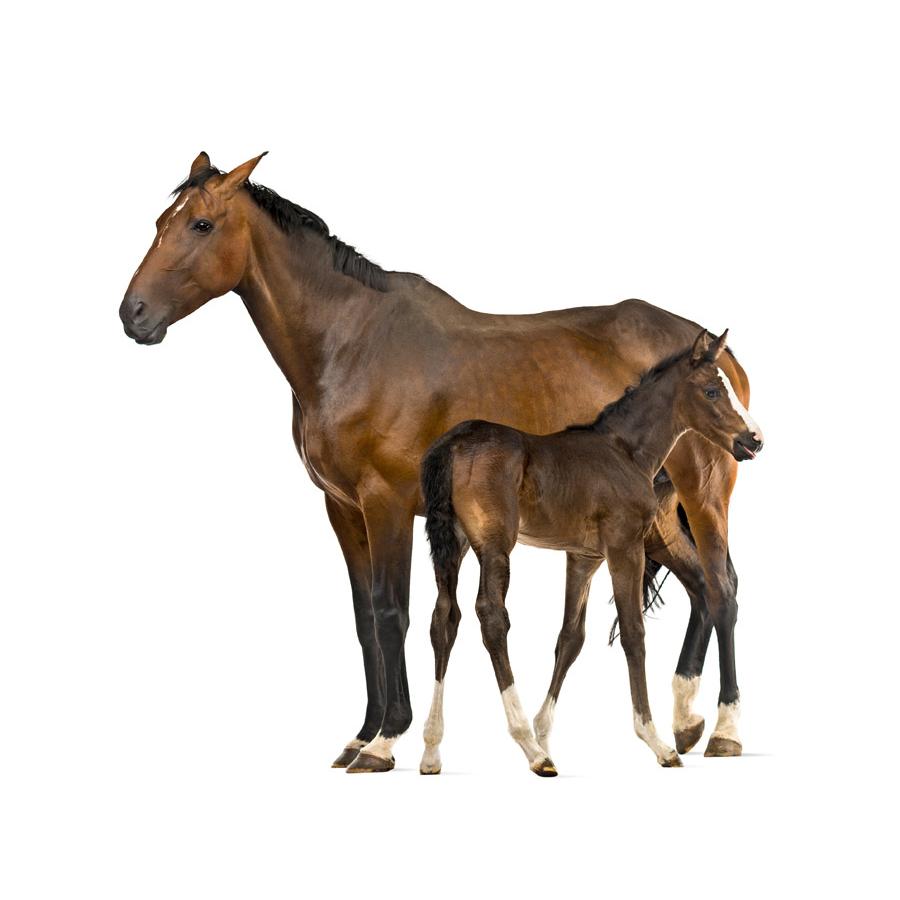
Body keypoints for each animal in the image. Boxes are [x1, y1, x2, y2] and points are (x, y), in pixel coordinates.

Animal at [419, 330, 763, 774]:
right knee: (491, 617)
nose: (753, 439)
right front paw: (656, 742)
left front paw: (545, 733)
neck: (625, 451)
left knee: (444, 618)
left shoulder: (584, 557)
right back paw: (529, 749)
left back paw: (432, 749)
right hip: (495, 546)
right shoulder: (624, 547)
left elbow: (570, 637)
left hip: (452, 543)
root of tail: (452, 443)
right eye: (712, 391)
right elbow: (634, 633)